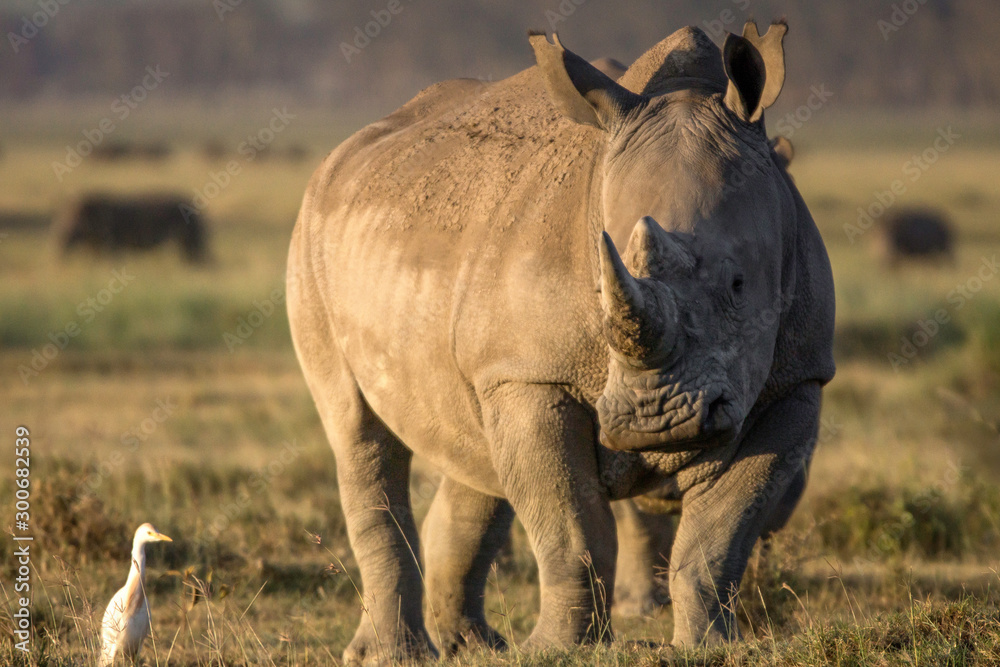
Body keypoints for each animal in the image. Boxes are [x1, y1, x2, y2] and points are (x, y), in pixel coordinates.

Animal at [287, 20, 835, 663]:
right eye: (601, 284)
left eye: (739, 284)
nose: (658, 419)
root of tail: (341, 156)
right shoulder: (532, 372)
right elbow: (572, 528)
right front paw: (557, 651)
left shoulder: (796, 378)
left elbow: (719, 537)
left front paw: (709, 648)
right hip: (312, 244)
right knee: (359, 432)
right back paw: (397, 654)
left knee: (474, 458)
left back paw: (475, 647)